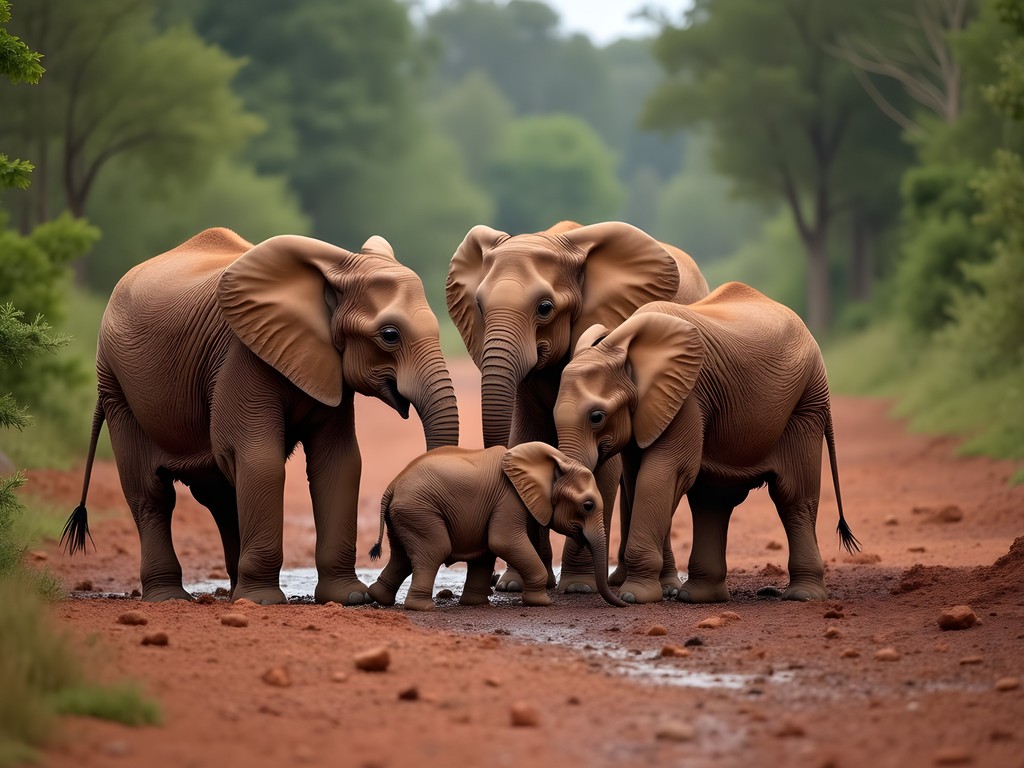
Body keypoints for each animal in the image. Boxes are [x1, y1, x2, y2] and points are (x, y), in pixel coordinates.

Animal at [61, 227, 459, 606]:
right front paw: (264, 601)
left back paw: (233, 588)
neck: (337, 267)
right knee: (152, 493)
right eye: (389, 335)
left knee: (220, 494)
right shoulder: (242, 358)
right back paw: (170, 597)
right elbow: (260, 461)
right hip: (116, 387)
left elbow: (339, 463)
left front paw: (350, 598)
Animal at [366, 442, 626, 610]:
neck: (555, 460)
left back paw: (380, 597)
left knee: (402, 556)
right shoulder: (509, 499)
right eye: (588, 506)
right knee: (434, 550)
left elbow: (486, 550)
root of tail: (392, 486)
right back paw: (423, 608)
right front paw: (542, 603)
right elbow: (503, 542)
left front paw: (476, 604)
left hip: (406, 514)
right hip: (419, 510)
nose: (623, 603)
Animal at [446, 220, 709, 594]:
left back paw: (663, 586)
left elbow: (606, 467)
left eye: (544, 308)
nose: (494, 580)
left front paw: (577, 587)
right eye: (479, 306)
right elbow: (525, 439)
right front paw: (513, 585)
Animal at [553, 282, 859, 605]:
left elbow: (663, 473)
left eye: (597, 417)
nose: (615, 599)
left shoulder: (686, 398)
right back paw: (697, 597)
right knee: (712, 498)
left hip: (807, 402)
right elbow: (639, 478)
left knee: (792, 496)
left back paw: (802, 595)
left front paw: (633, 597)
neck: (621, 345)